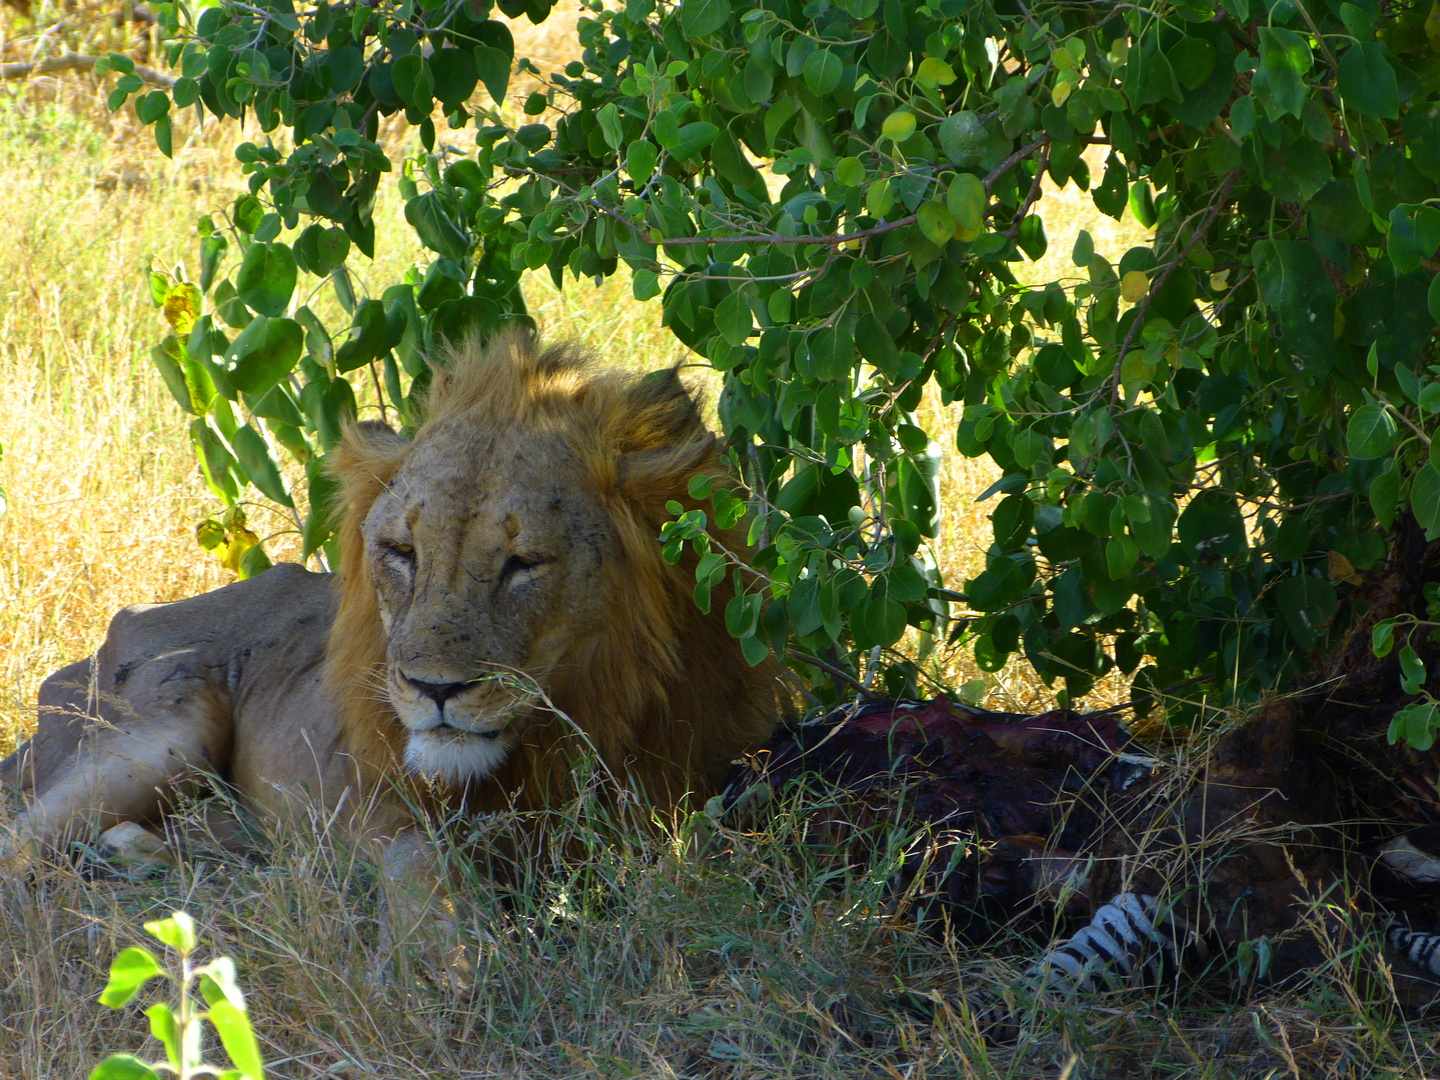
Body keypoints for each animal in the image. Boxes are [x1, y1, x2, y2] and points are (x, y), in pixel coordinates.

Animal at [2, 334, 789, 910]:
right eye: (401, 552)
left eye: (523, 563)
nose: (435, 690)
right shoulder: (384, 808)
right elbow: (424, 875)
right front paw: (453, 970)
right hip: (164, 726)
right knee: (21, 839)